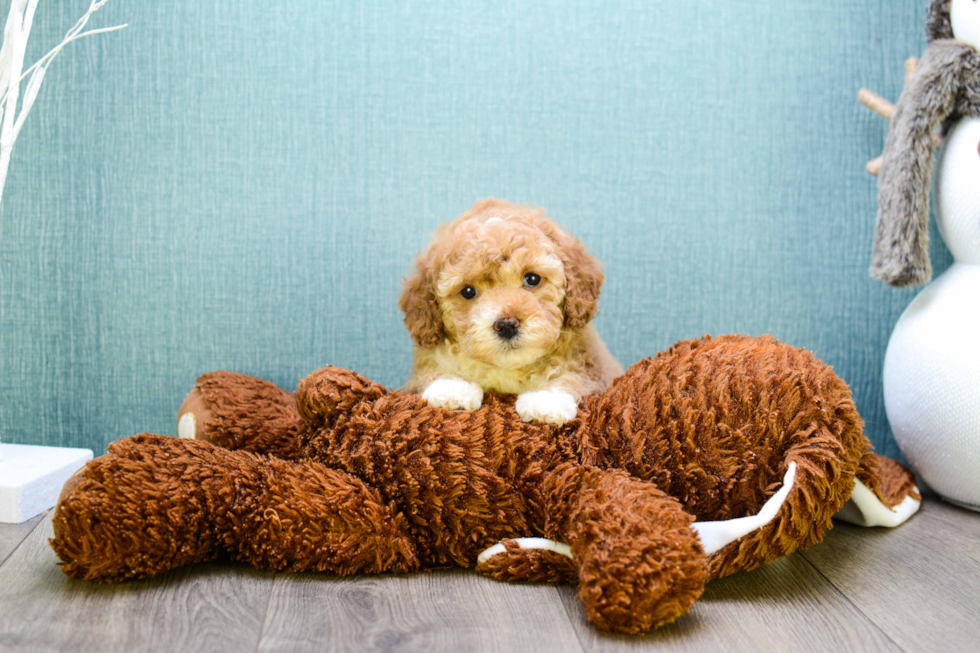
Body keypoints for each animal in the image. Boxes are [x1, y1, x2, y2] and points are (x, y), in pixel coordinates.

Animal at [398, 196, 620, 426]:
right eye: (468, 291)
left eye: (532, 279)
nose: (506, 325)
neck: (508, 369)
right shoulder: (419, 370)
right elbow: (431, 371)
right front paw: (451, 389)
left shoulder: (593, 367)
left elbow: (572, 375)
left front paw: (546, 401)